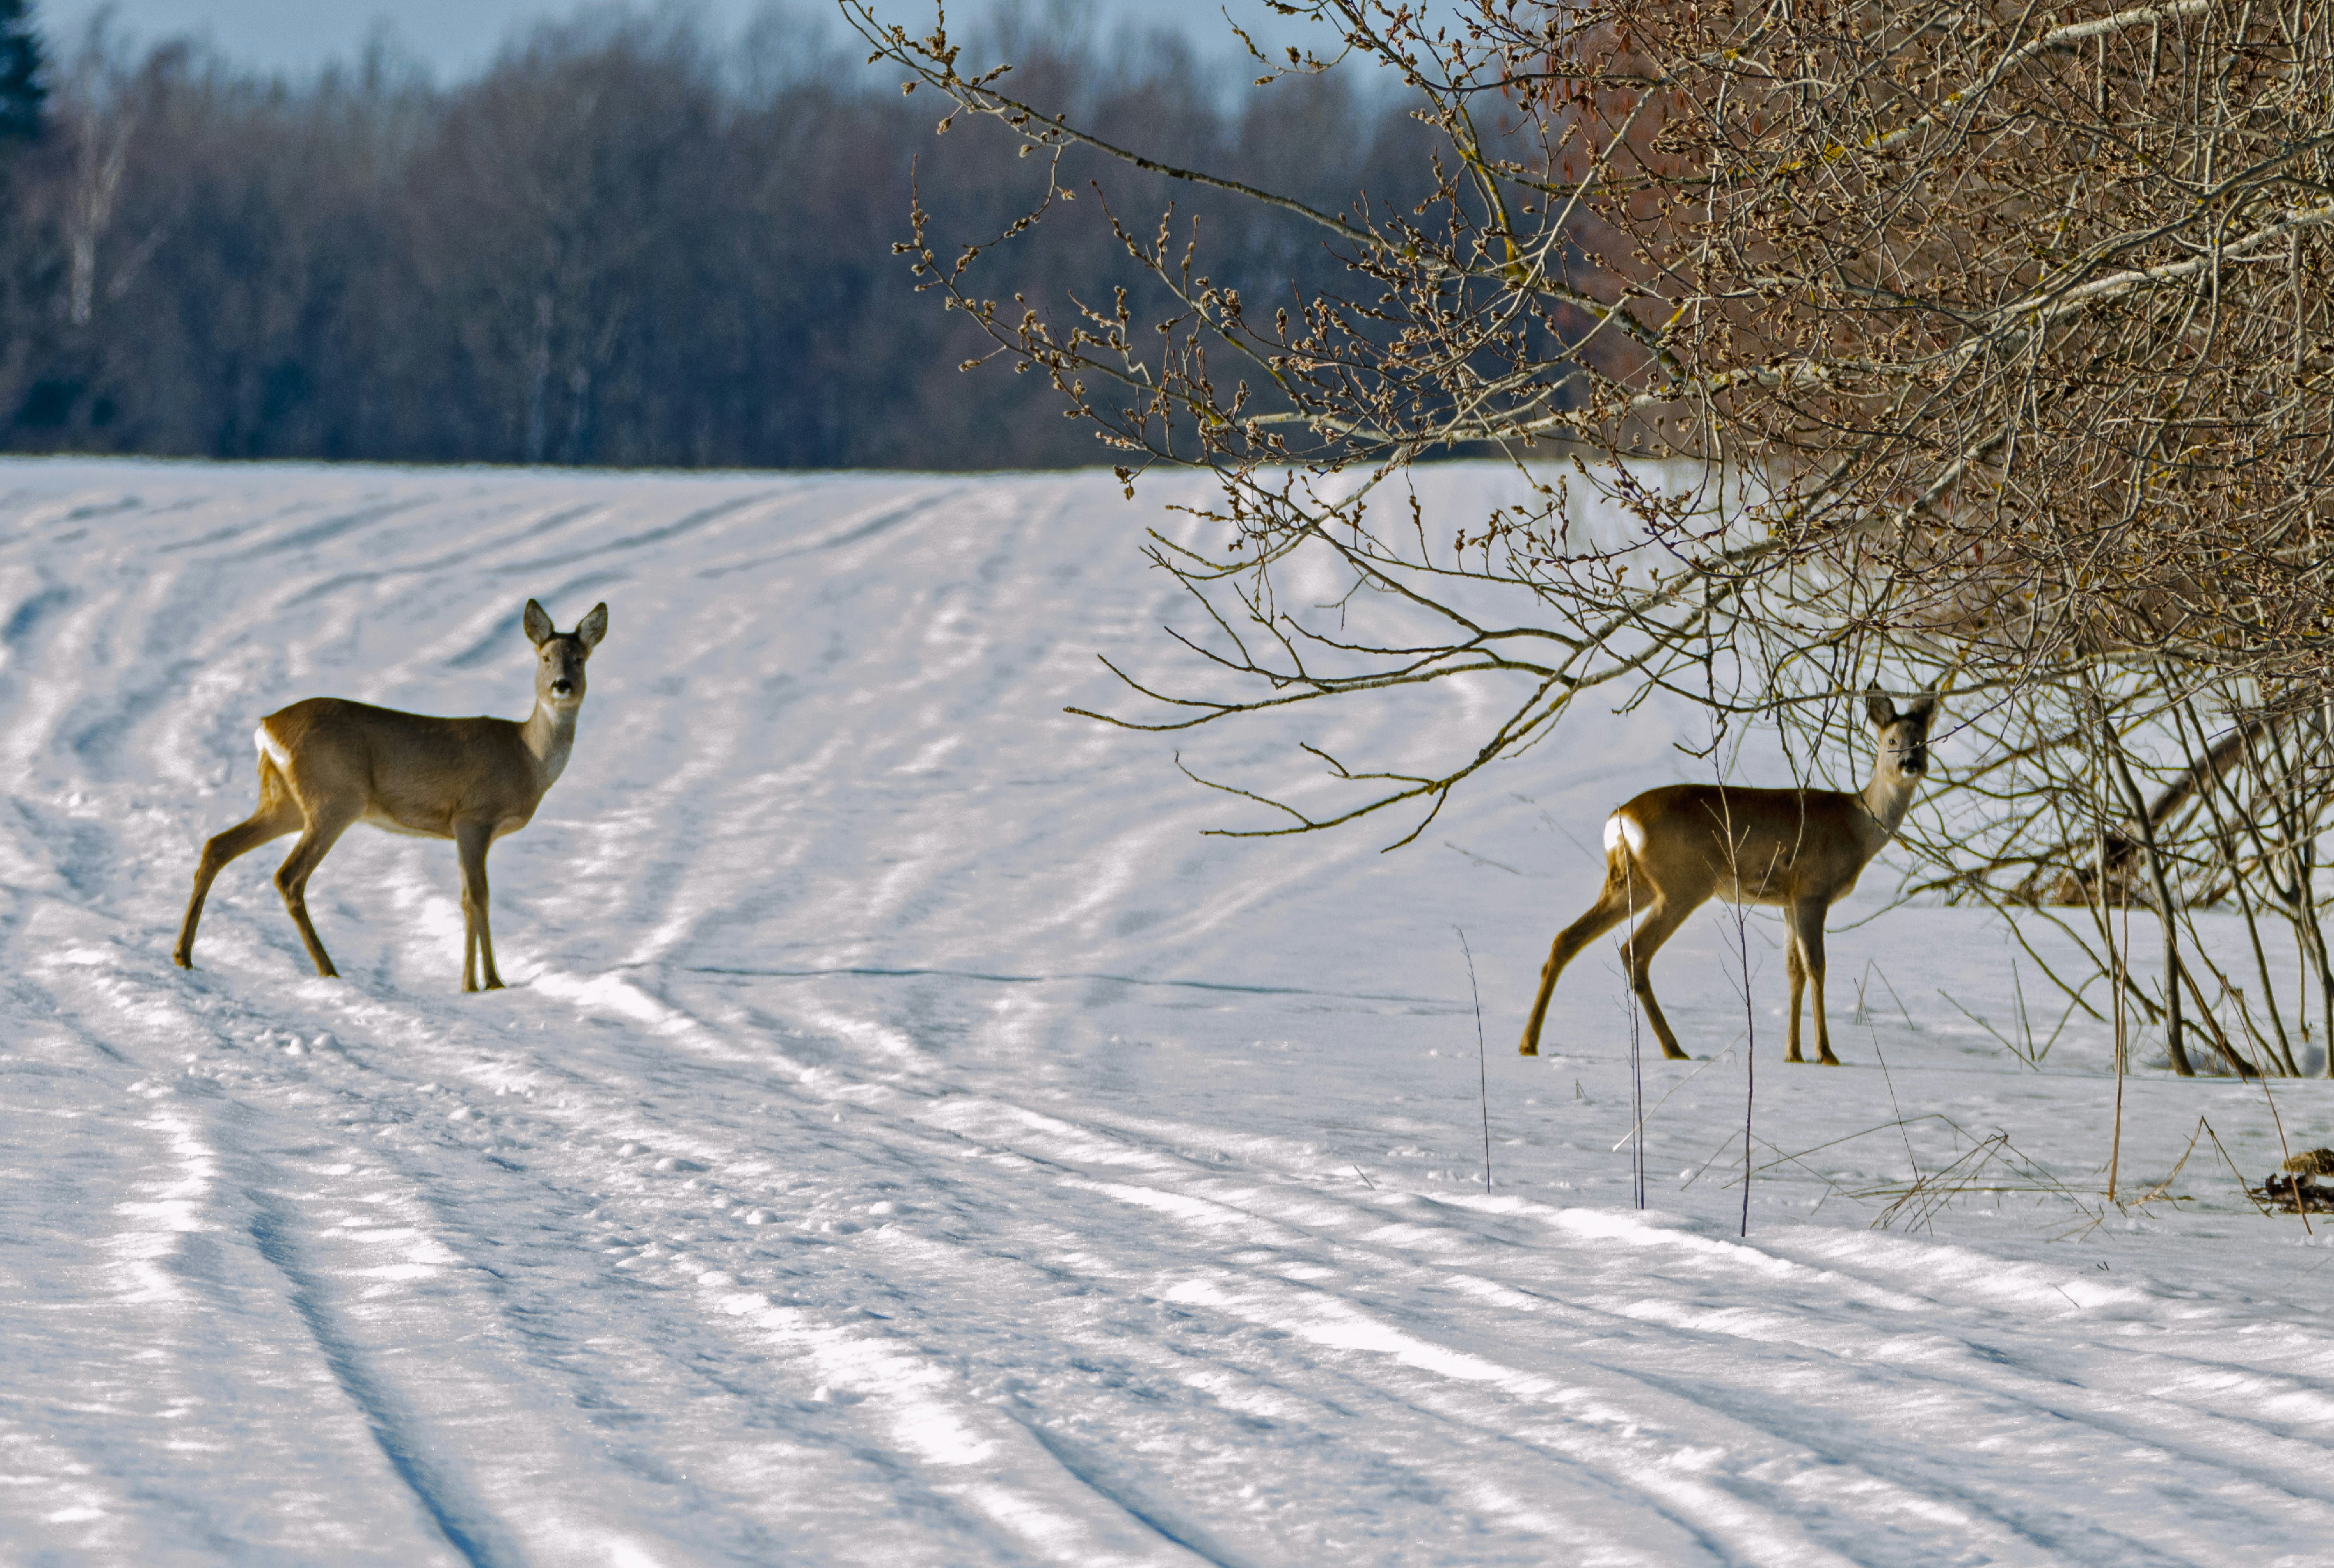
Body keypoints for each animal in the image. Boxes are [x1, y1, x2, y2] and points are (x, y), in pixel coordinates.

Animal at [171, 600, 608, 992]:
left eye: (580, 658)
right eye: (546, 657)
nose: (562, 685)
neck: (526, 757)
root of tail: (267, 726)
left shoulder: (464, 828)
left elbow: (468, 897)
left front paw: (478, 982)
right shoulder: (472, 817)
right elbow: (477, 897)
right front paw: (486, 983)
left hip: (285, 803)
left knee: (217, 845)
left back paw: (183, 955)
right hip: (335, 799)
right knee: (288, 876)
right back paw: (328, 969)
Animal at [1518, 685, 1940, 1065]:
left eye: (1922, 740)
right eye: (1891, 740)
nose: (1910, 764)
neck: (1857, 827)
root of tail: (1621, 819)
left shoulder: (1787, 900)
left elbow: (1793, 970)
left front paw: (1793, 1054)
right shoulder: (1812, 891)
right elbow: (1816, 967)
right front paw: (1826, 1053)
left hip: (1631, 883)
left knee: (1566, 939)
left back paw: (1529, 1043)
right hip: (1682, 883)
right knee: (1633, 951)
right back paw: (1673, 1048)